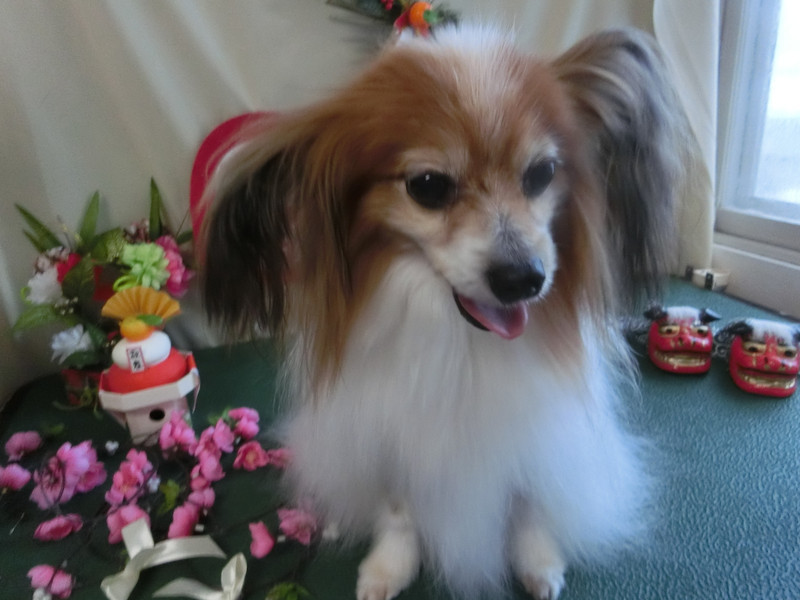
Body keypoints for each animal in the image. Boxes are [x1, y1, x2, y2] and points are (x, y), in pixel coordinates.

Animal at [201, 24, 695, 600]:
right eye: (429, 186)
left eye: (542, 173)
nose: (523, 279)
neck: (463, 338)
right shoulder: (390, 436)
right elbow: (399, 511)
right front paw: (390, 566)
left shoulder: (535, 428)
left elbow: (529, 500)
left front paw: (537, 559)